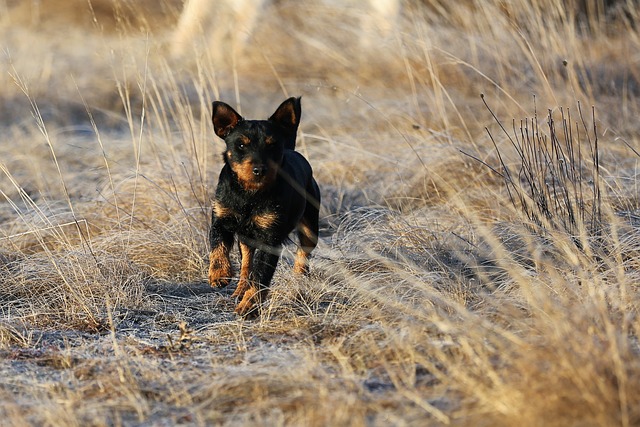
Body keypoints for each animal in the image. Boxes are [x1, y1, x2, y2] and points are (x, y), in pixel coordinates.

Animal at [209, 98, 320, 318]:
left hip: (310, 228)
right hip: (247, 237)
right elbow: (217, 246)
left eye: (272, 145)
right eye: (240, 144)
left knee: (303, 255)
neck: (249, 194)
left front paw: (249, 306)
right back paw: (240, 290)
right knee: (246, 263)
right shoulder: (220, 219)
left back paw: (299, 279)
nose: (259, 169)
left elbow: (261, 275)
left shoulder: (270, 238)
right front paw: (219, 274)